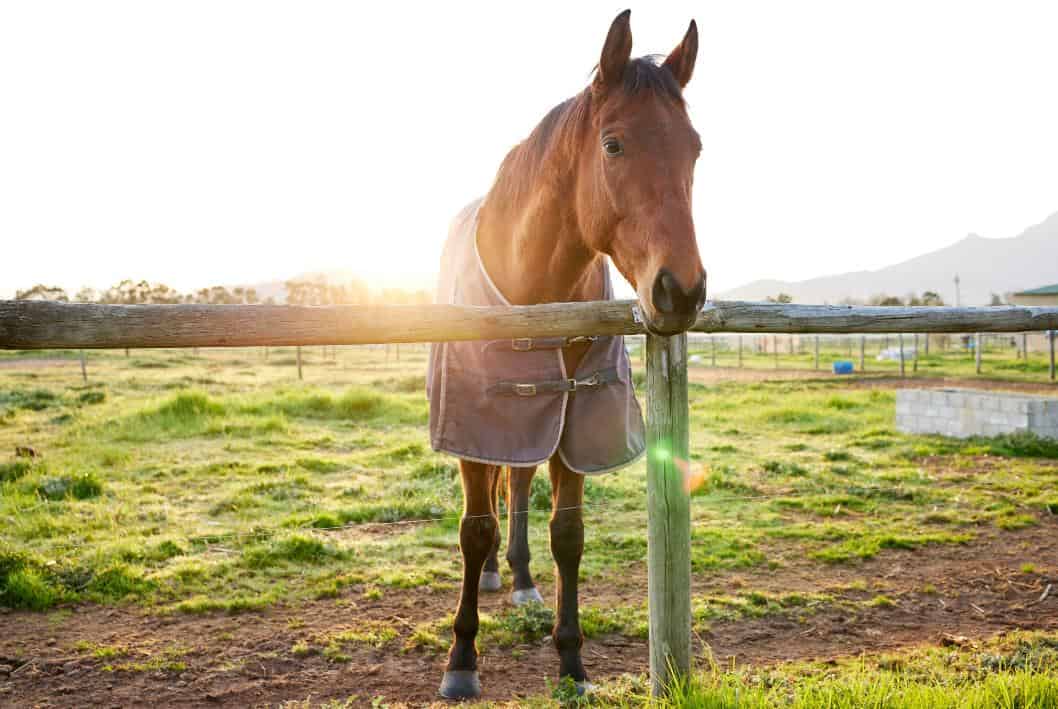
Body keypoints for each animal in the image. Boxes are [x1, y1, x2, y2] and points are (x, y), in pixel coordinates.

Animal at [425, 9, 706, 698]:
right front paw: (461, 661)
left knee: (521, 485)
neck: (534, 289)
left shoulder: (573, 422)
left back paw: (523, 580)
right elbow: (474, 530)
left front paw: (573, 663)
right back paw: (495, 579)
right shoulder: (476, 426)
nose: (681, 291)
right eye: (613, 144)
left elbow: (568, 535)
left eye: (694, 148)